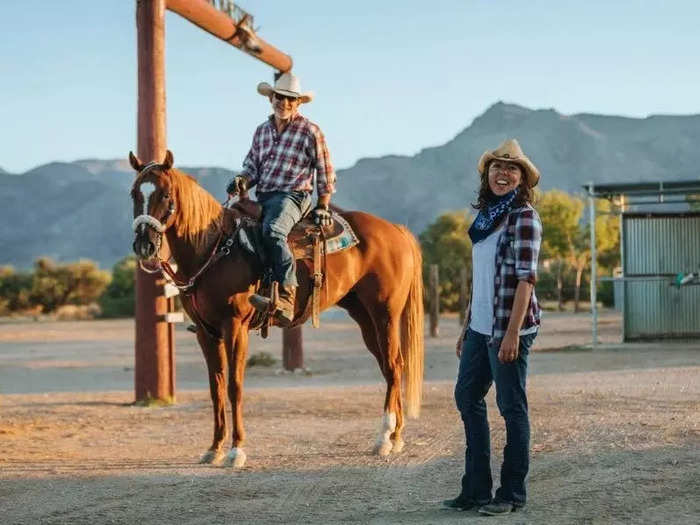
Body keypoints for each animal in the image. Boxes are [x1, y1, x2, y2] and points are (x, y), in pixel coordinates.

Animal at [129, 149, 424, 464]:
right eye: (135, 193)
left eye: (165, 194)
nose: (145, 245)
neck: (213, 248)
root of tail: (396, 230)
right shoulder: (206, 333)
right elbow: (216, 388)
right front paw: (214, 448)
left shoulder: (235, 327)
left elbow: (234, 386)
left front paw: (237, 449)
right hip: (364, 317)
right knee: (392, 366)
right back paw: (396, 437)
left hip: (385, 314)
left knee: (393, 366)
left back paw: (384, 437)